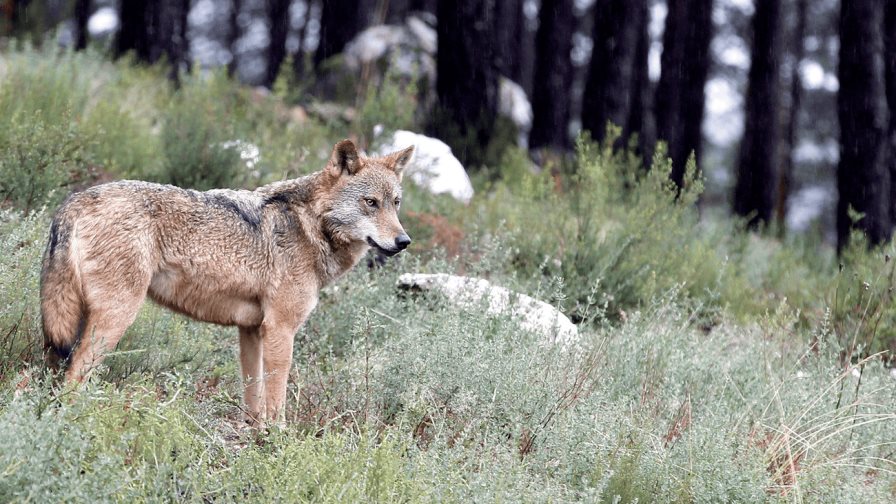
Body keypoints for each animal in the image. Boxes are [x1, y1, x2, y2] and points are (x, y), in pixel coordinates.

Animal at [37, 140, 410, 424]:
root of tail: (75, 200)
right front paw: (280, 441)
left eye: (395, 203)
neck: (310, 226)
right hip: (115, 319)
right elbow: (277, 401)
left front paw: (255, 437)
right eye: (370, 202)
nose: (404, 241)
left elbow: (254, 398)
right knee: (74, 376)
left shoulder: (251, 330)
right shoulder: (280, 330)